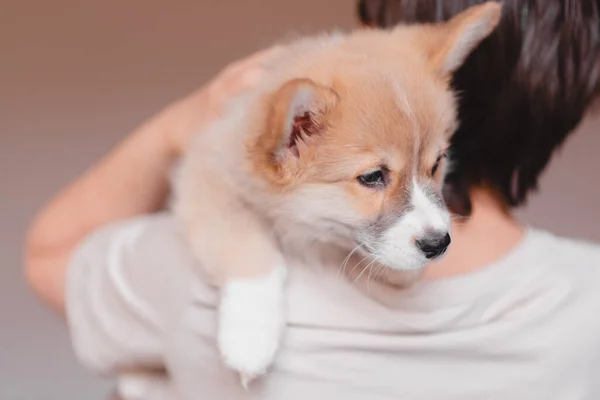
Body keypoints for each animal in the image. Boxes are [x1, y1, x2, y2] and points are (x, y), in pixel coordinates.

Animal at [170, 1, 502, 390]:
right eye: (372, 177)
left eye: (437, 164)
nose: (438, 244)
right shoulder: (205, 176)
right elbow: (248, 248)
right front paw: (251, 338)